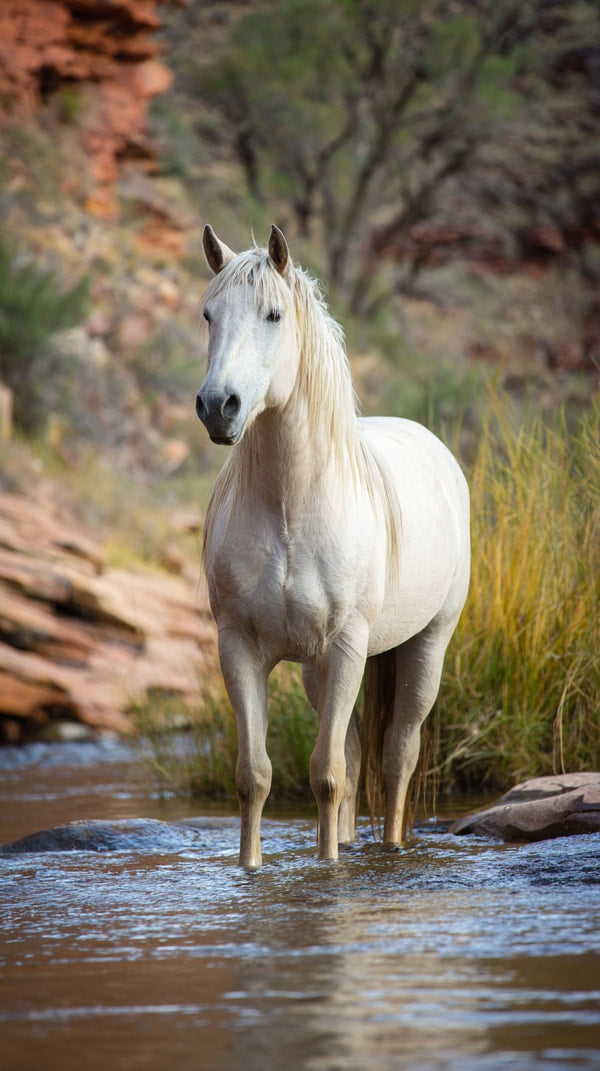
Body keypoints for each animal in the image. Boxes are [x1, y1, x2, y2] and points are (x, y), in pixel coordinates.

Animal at [196, 224, 470, 868]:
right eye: (208, 315)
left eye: (273, 315)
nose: (218, 407)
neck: (291, 510)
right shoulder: (239, 648)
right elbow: (257, 776)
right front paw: (254, 868)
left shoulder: (347, 646)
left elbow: (326, 776)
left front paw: (330, 869)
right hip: (318, 671)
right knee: (352, 753)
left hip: (424, 648)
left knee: (395, 758)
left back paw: (390, 846)